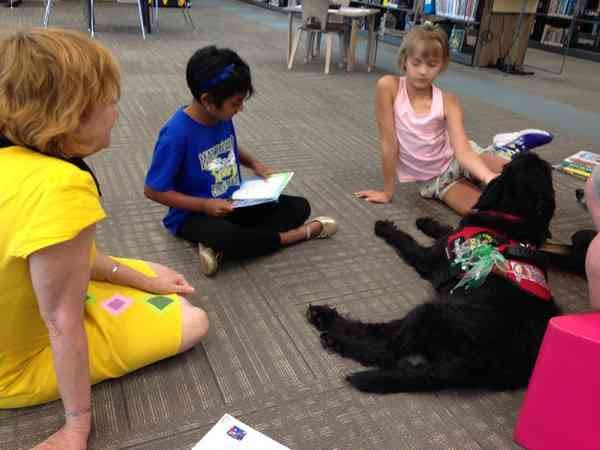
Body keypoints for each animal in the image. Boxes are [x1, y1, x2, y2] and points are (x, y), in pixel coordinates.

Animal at [310, 155, 568, 394]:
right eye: (544, 169)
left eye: (507, 167)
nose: (525, 155)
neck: (514, 217)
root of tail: (482, 367)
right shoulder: (453, 238)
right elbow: (445, 229)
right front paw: (426, 221)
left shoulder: (429, 259)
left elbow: (407, 241)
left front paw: (387, 228)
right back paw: (326, 322)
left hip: (430, 312)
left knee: (387, 349)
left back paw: (334, 335)